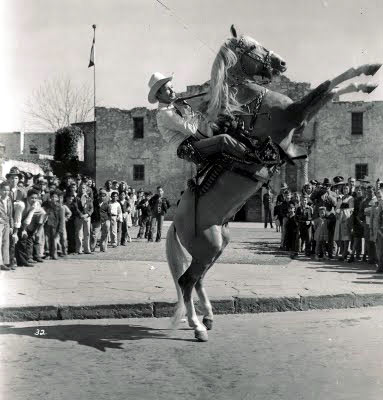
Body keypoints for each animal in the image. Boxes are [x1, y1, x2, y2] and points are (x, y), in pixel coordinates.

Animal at [166, 25, 380, 340]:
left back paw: (207, 318)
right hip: (208, 247)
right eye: (250, 45)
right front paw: (367, 72)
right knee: (186, 281)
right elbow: (326, 86)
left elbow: (330, 90)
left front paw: (366, 79)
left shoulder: (299, 130)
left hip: (217, 247)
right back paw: (197, 326)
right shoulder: (295, 115)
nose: (281, 63)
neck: (249, 103)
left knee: (197, 280)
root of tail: (176, 223)